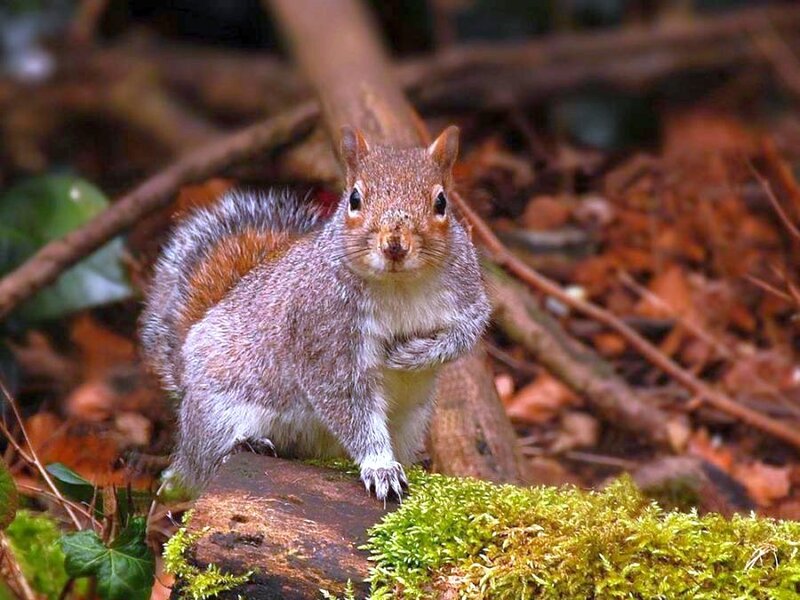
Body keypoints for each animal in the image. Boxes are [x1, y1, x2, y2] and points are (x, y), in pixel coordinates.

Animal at [140, 125, 491, 501]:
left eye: (441, 202)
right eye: (354, 199)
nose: (395, 245)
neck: (399, 285)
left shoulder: (467, 294)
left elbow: (464, 335)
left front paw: (413, 354)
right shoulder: (322, 333)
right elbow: (347, 404)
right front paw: (380, 467)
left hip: (410, 424)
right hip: (215, 413)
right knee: (201, 464)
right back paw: (245, 445)